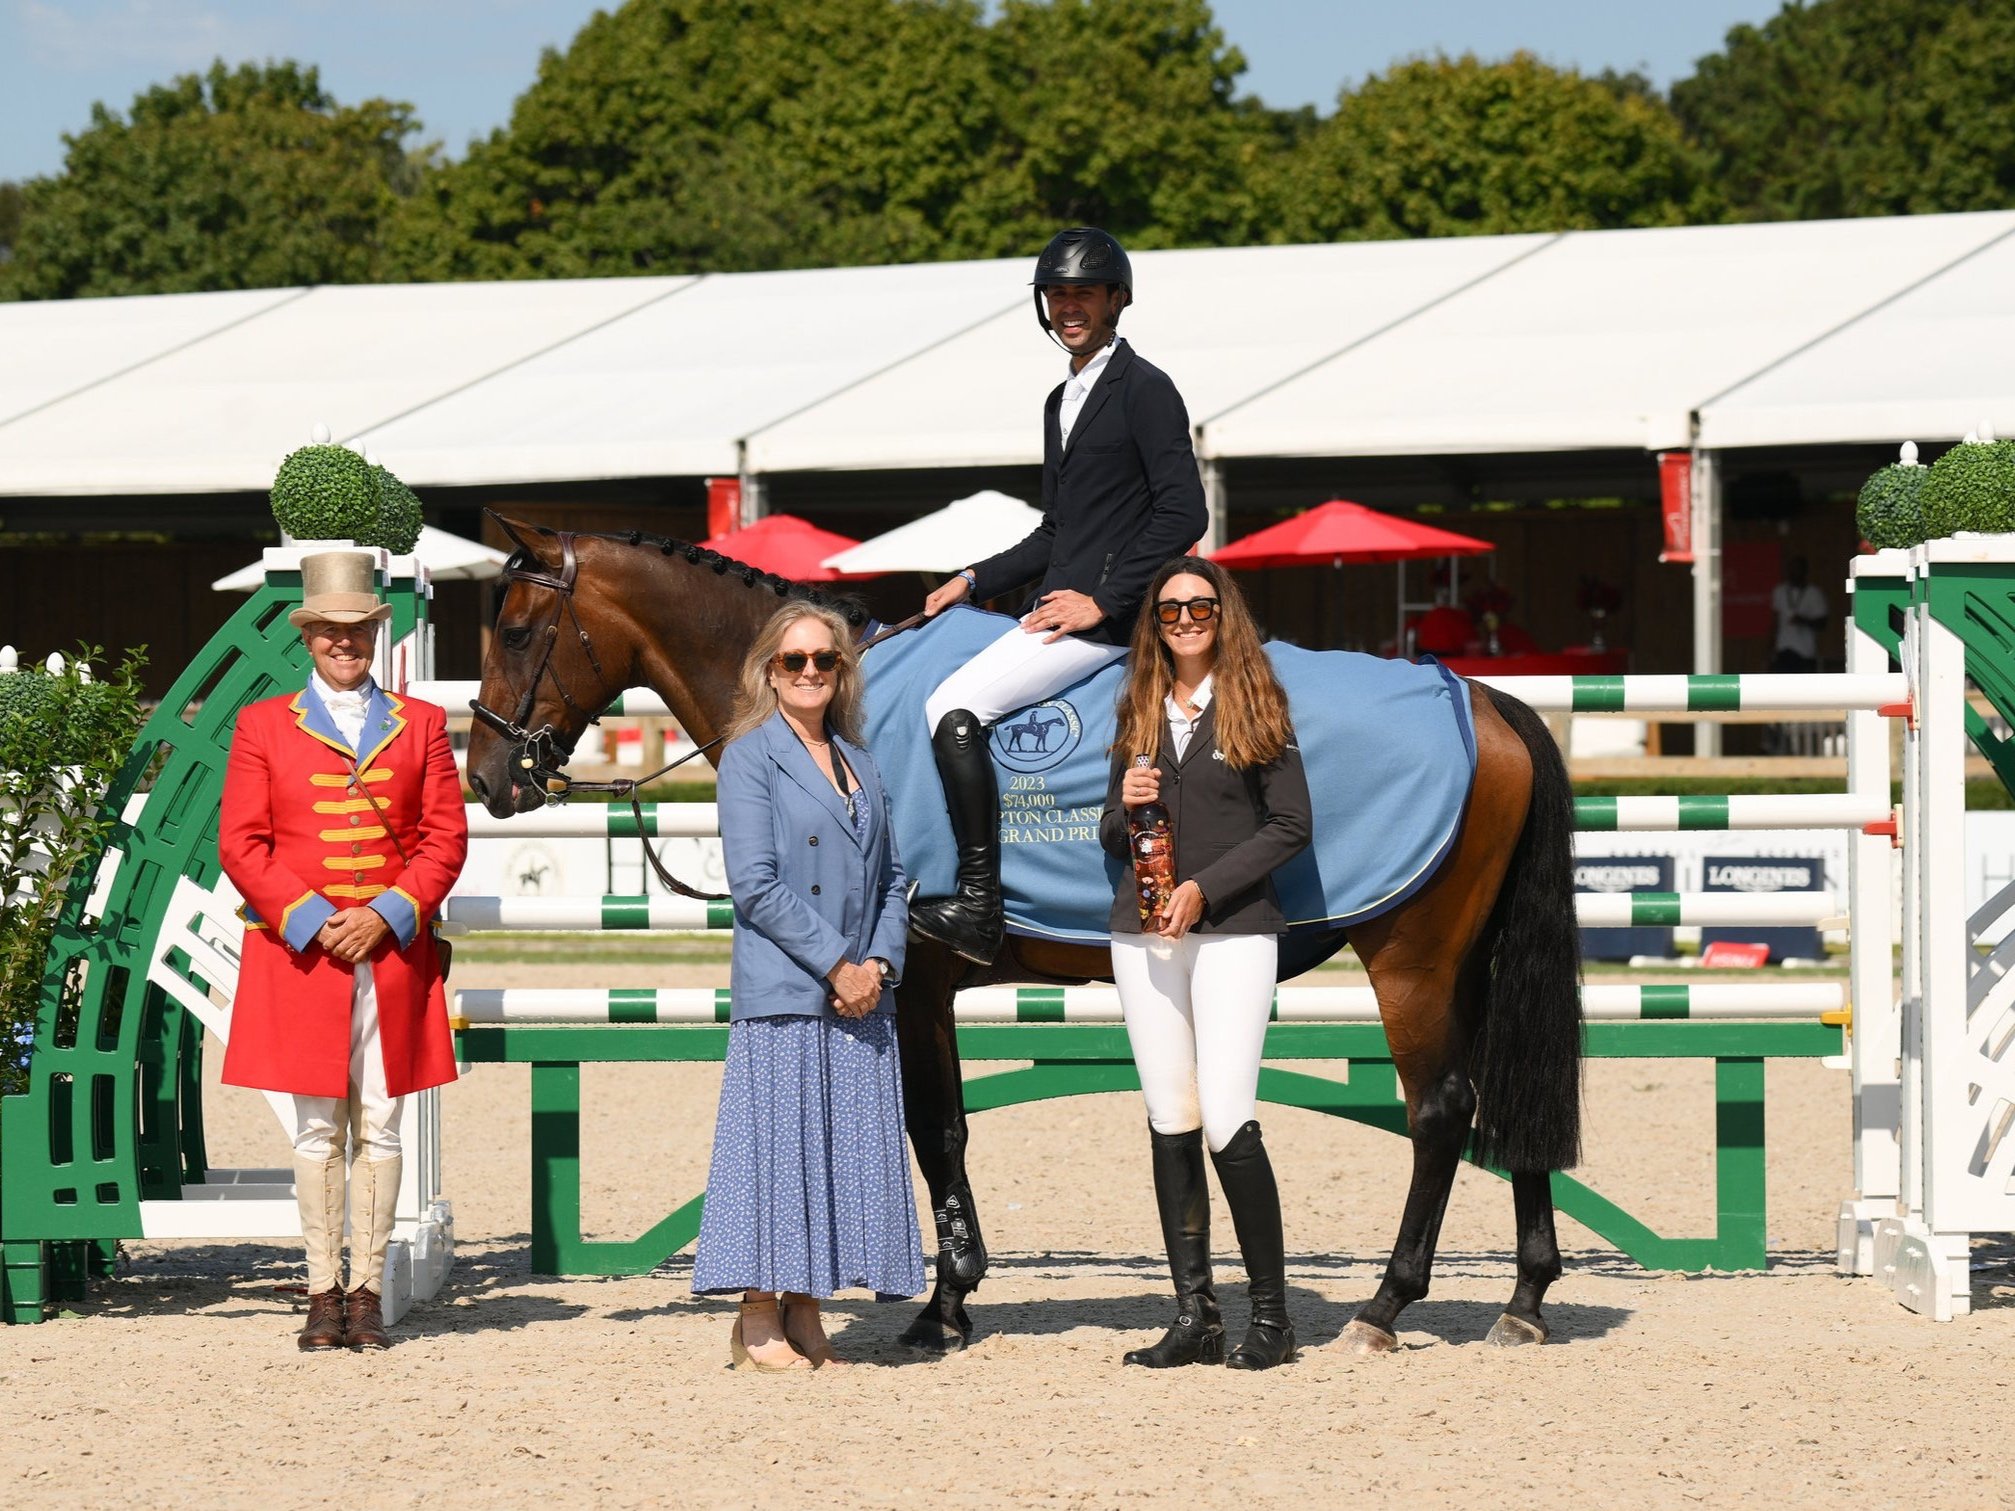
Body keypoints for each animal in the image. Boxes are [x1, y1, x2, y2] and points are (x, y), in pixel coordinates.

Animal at [463, 523, 1579, 1361]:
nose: (487, 776)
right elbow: (943, 1128)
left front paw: (942, 1304)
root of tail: (1478, 698)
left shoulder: (911, 983)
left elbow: (937, 1129)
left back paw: (1384, 1306)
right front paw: (949, 1295)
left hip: (1411, 961)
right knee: (1502, 1103)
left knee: (1439, 1111)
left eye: (514, 629)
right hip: (1467, 962)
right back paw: (1522, 1300)